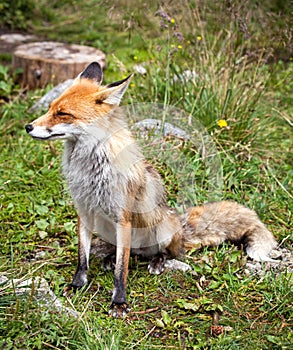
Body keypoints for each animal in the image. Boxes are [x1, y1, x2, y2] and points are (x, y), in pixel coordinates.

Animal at [25, 62, 276, 318]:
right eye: (50, 108)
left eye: (63, 114)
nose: (28, 127)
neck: (91, 169)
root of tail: (179, 226)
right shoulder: (84, 212)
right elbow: (82, 258)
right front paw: (78, 285)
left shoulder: (123, 218)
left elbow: (122, 270)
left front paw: (119, 302)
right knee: (125, 252)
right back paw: (109, 257)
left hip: (161, 226)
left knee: (165, 253)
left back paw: (157, 261)